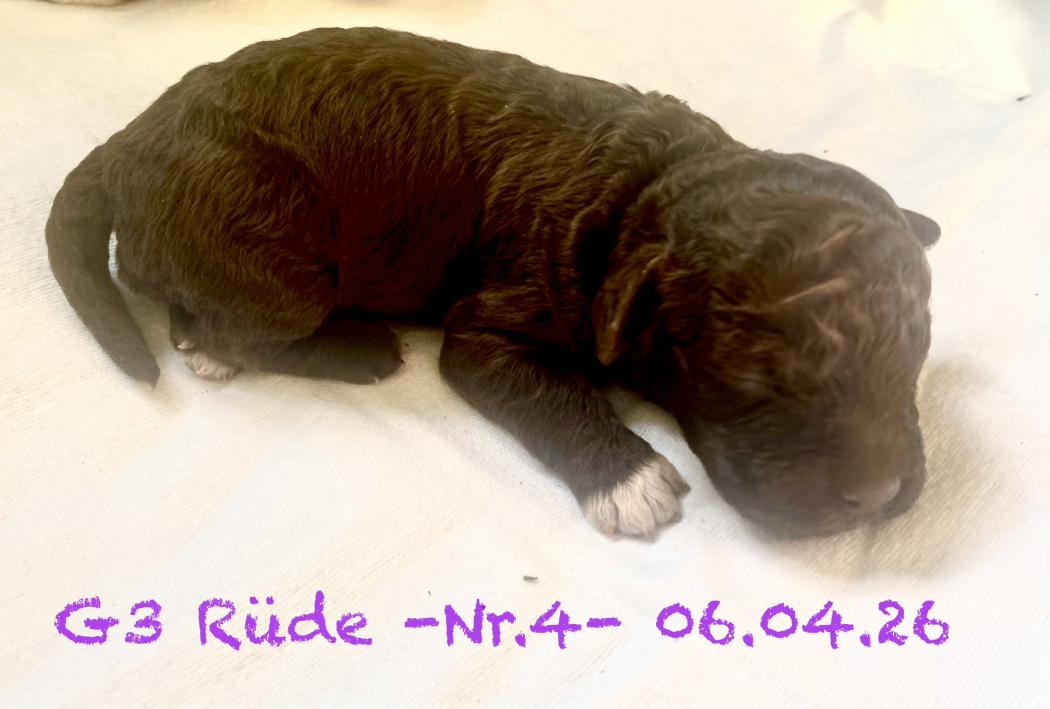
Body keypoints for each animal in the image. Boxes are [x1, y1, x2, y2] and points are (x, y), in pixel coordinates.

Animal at [46, 27, 940, 539]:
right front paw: (631, 480)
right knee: (221, 318)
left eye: (914, 357)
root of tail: (128, 141)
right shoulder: (497, 325)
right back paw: (357, 347)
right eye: (752, 380)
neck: (647, 190)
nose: (878, 497)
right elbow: (549, 392)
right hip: (273, 240)